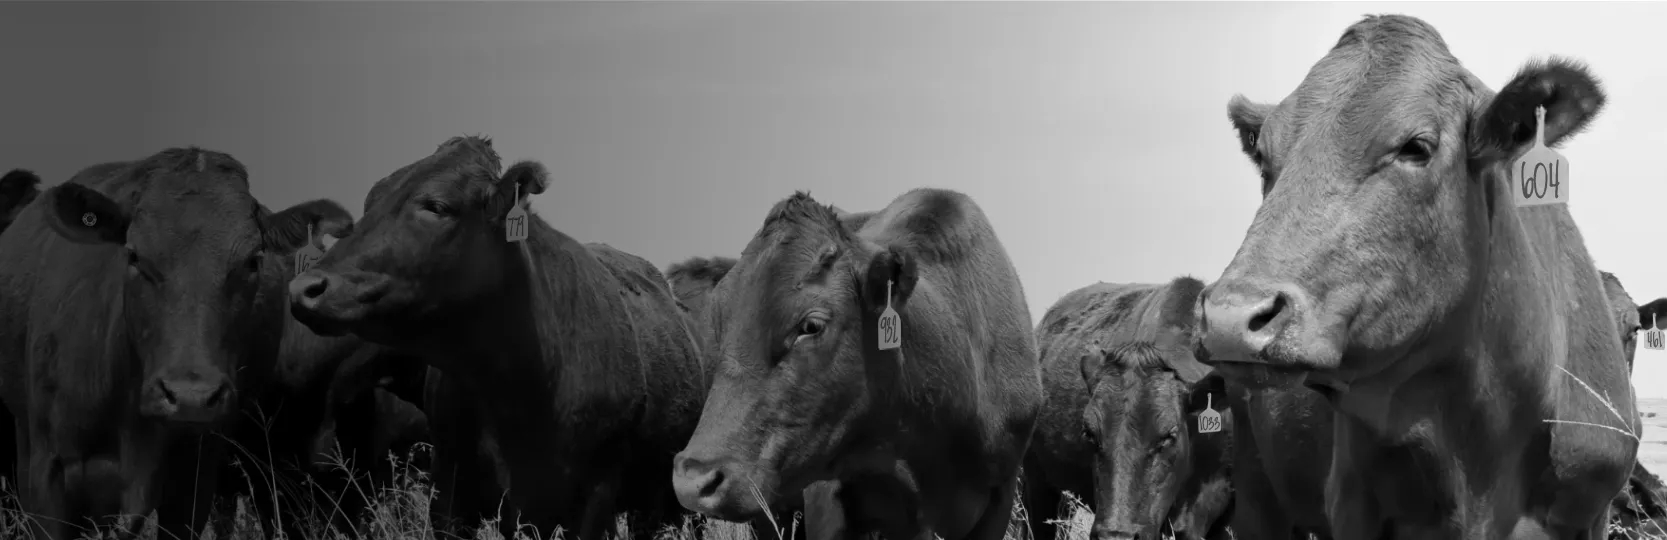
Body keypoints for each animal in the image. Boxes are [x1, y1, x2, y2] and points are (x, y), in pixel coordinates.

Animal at [1200, 14, 1640, 536]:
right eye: (1265, 158)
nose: (1229, 318)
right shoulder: (1351, 503)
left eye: (1416, 147)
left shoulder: (1591, 510)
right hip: (1255, 490)